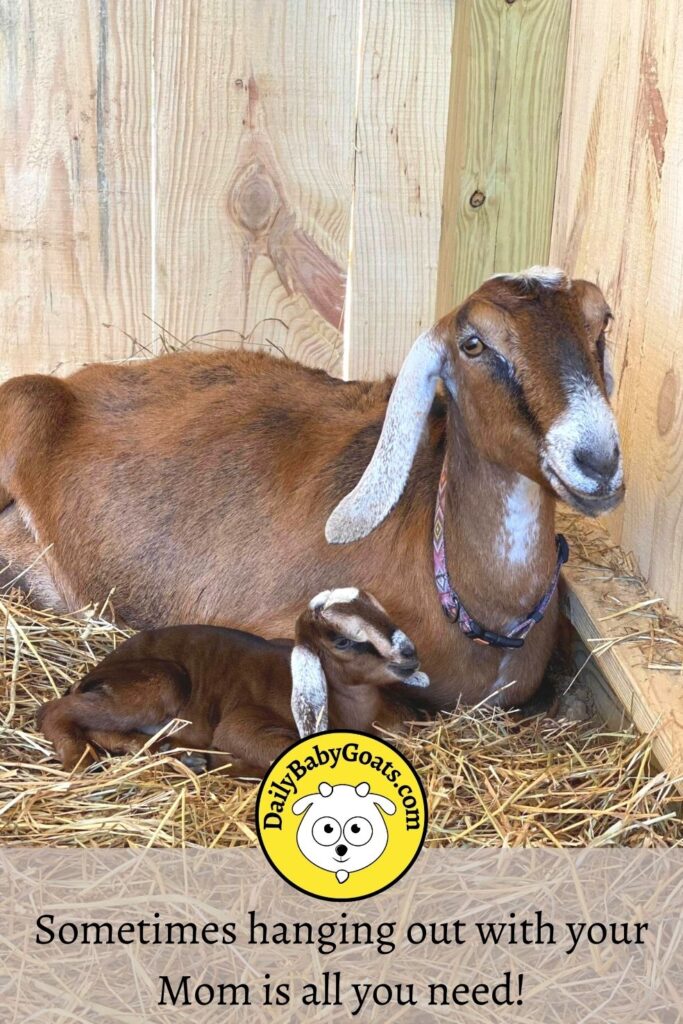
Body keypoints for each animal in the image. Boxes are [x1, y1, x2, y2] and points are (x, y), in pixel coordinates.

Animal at [36, 593, 428, 774]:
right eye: (342, 641)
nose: (410, 655)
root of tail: (95, 671)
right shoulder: (242, 724)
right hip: (160, 682)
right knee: (54, 709)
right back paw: (79, 760)